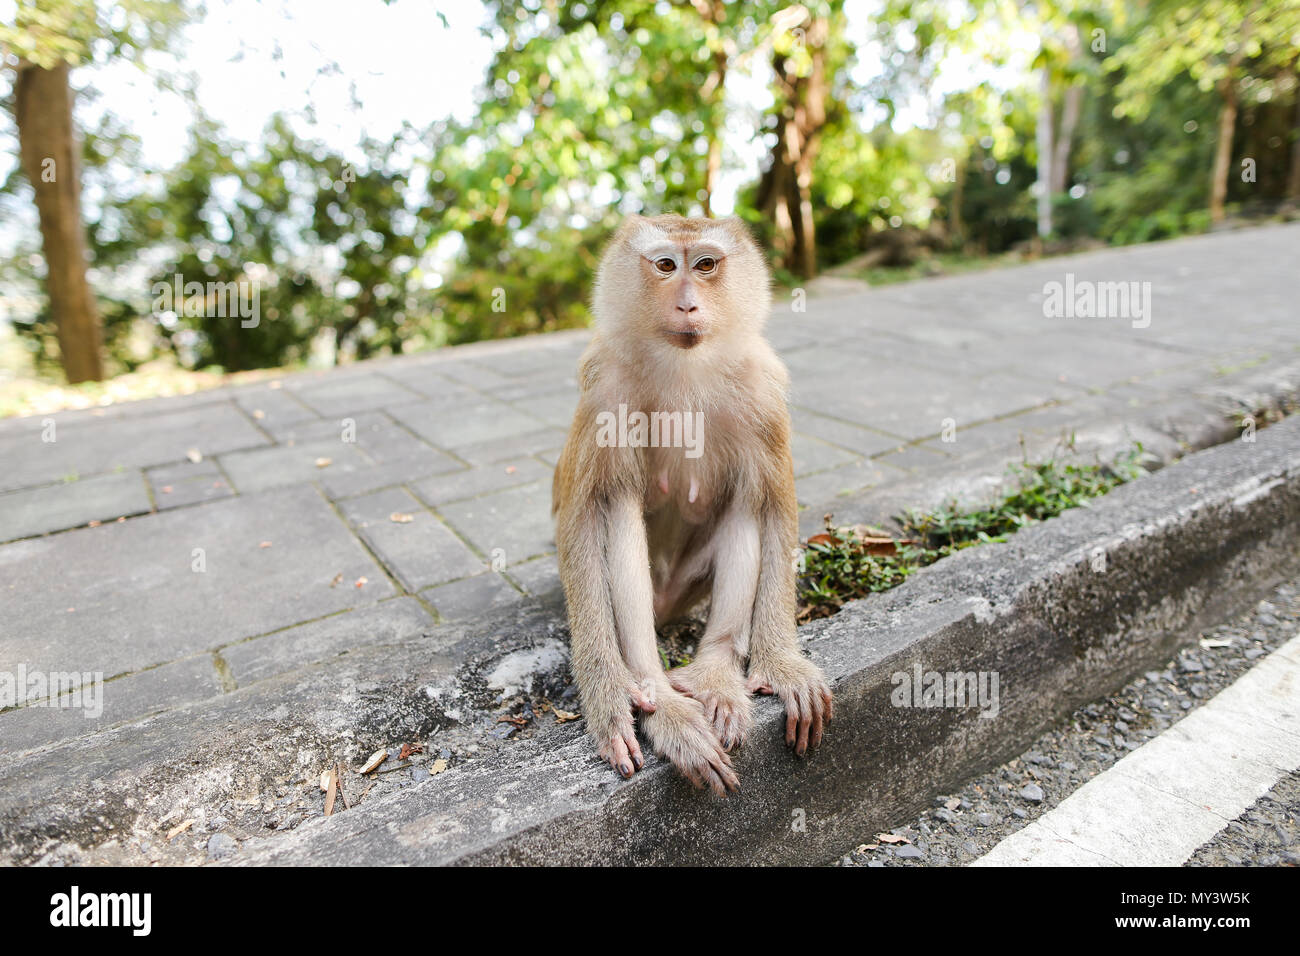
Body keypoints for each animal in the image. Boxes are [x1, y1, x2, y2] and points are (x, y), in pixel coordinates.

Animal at [548, 214, 832, 790]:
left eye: (704, 265)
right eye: (664, 265)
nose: (686, 304)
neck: (685, 366)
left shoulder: (763, 390)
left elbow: (773, 505)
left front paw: (781, 662)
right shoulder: (605, 386)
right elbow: (584, 518)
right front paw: (608, 696)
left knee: (747, 500)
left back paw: (716, 671)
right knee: (619, 507)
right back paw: (657, 691)